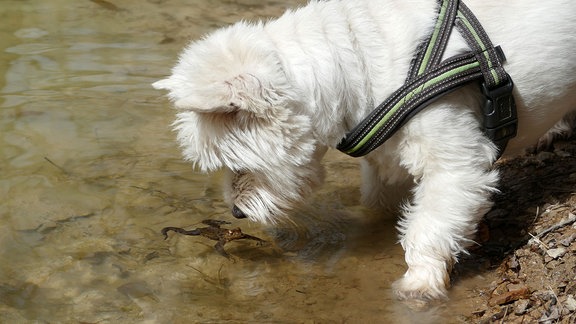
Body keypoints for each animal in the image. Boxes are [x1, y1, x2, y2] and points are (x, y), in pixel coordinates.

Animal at [153, 0, 576, 302]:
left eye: (236, 164)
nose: (236, 213)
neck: (356, 56)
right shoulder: (388, 159)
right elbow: (380, 203)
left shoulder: (455, 166)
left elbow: (430, 225)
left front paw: (418, 283)